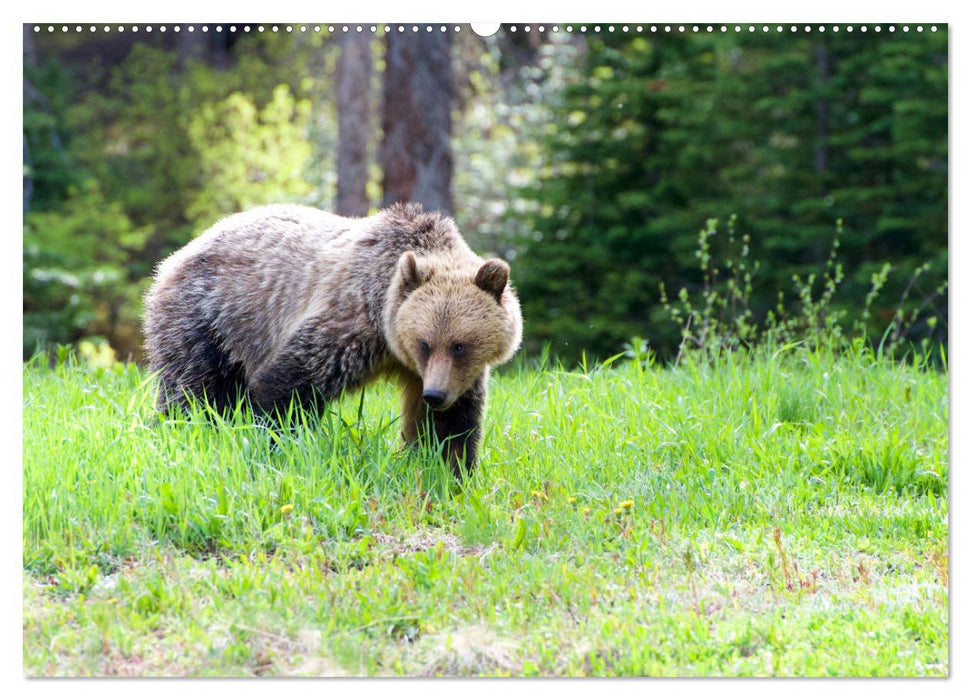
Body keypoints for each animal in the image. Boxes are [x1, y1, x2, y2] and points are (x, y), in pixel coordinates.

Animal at [141, 204, 520, 476]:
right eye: (425, 343)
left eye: (460, 345)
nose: (435, 394)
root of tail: (177, 255)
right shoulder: (349, 324)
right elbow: (290, 386)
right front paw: (276, 444)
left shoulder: (449, 375)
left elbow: (449, 425)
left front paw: (448, 471)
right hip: (210, 316)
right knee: (193, 390)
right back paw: (178, 431)